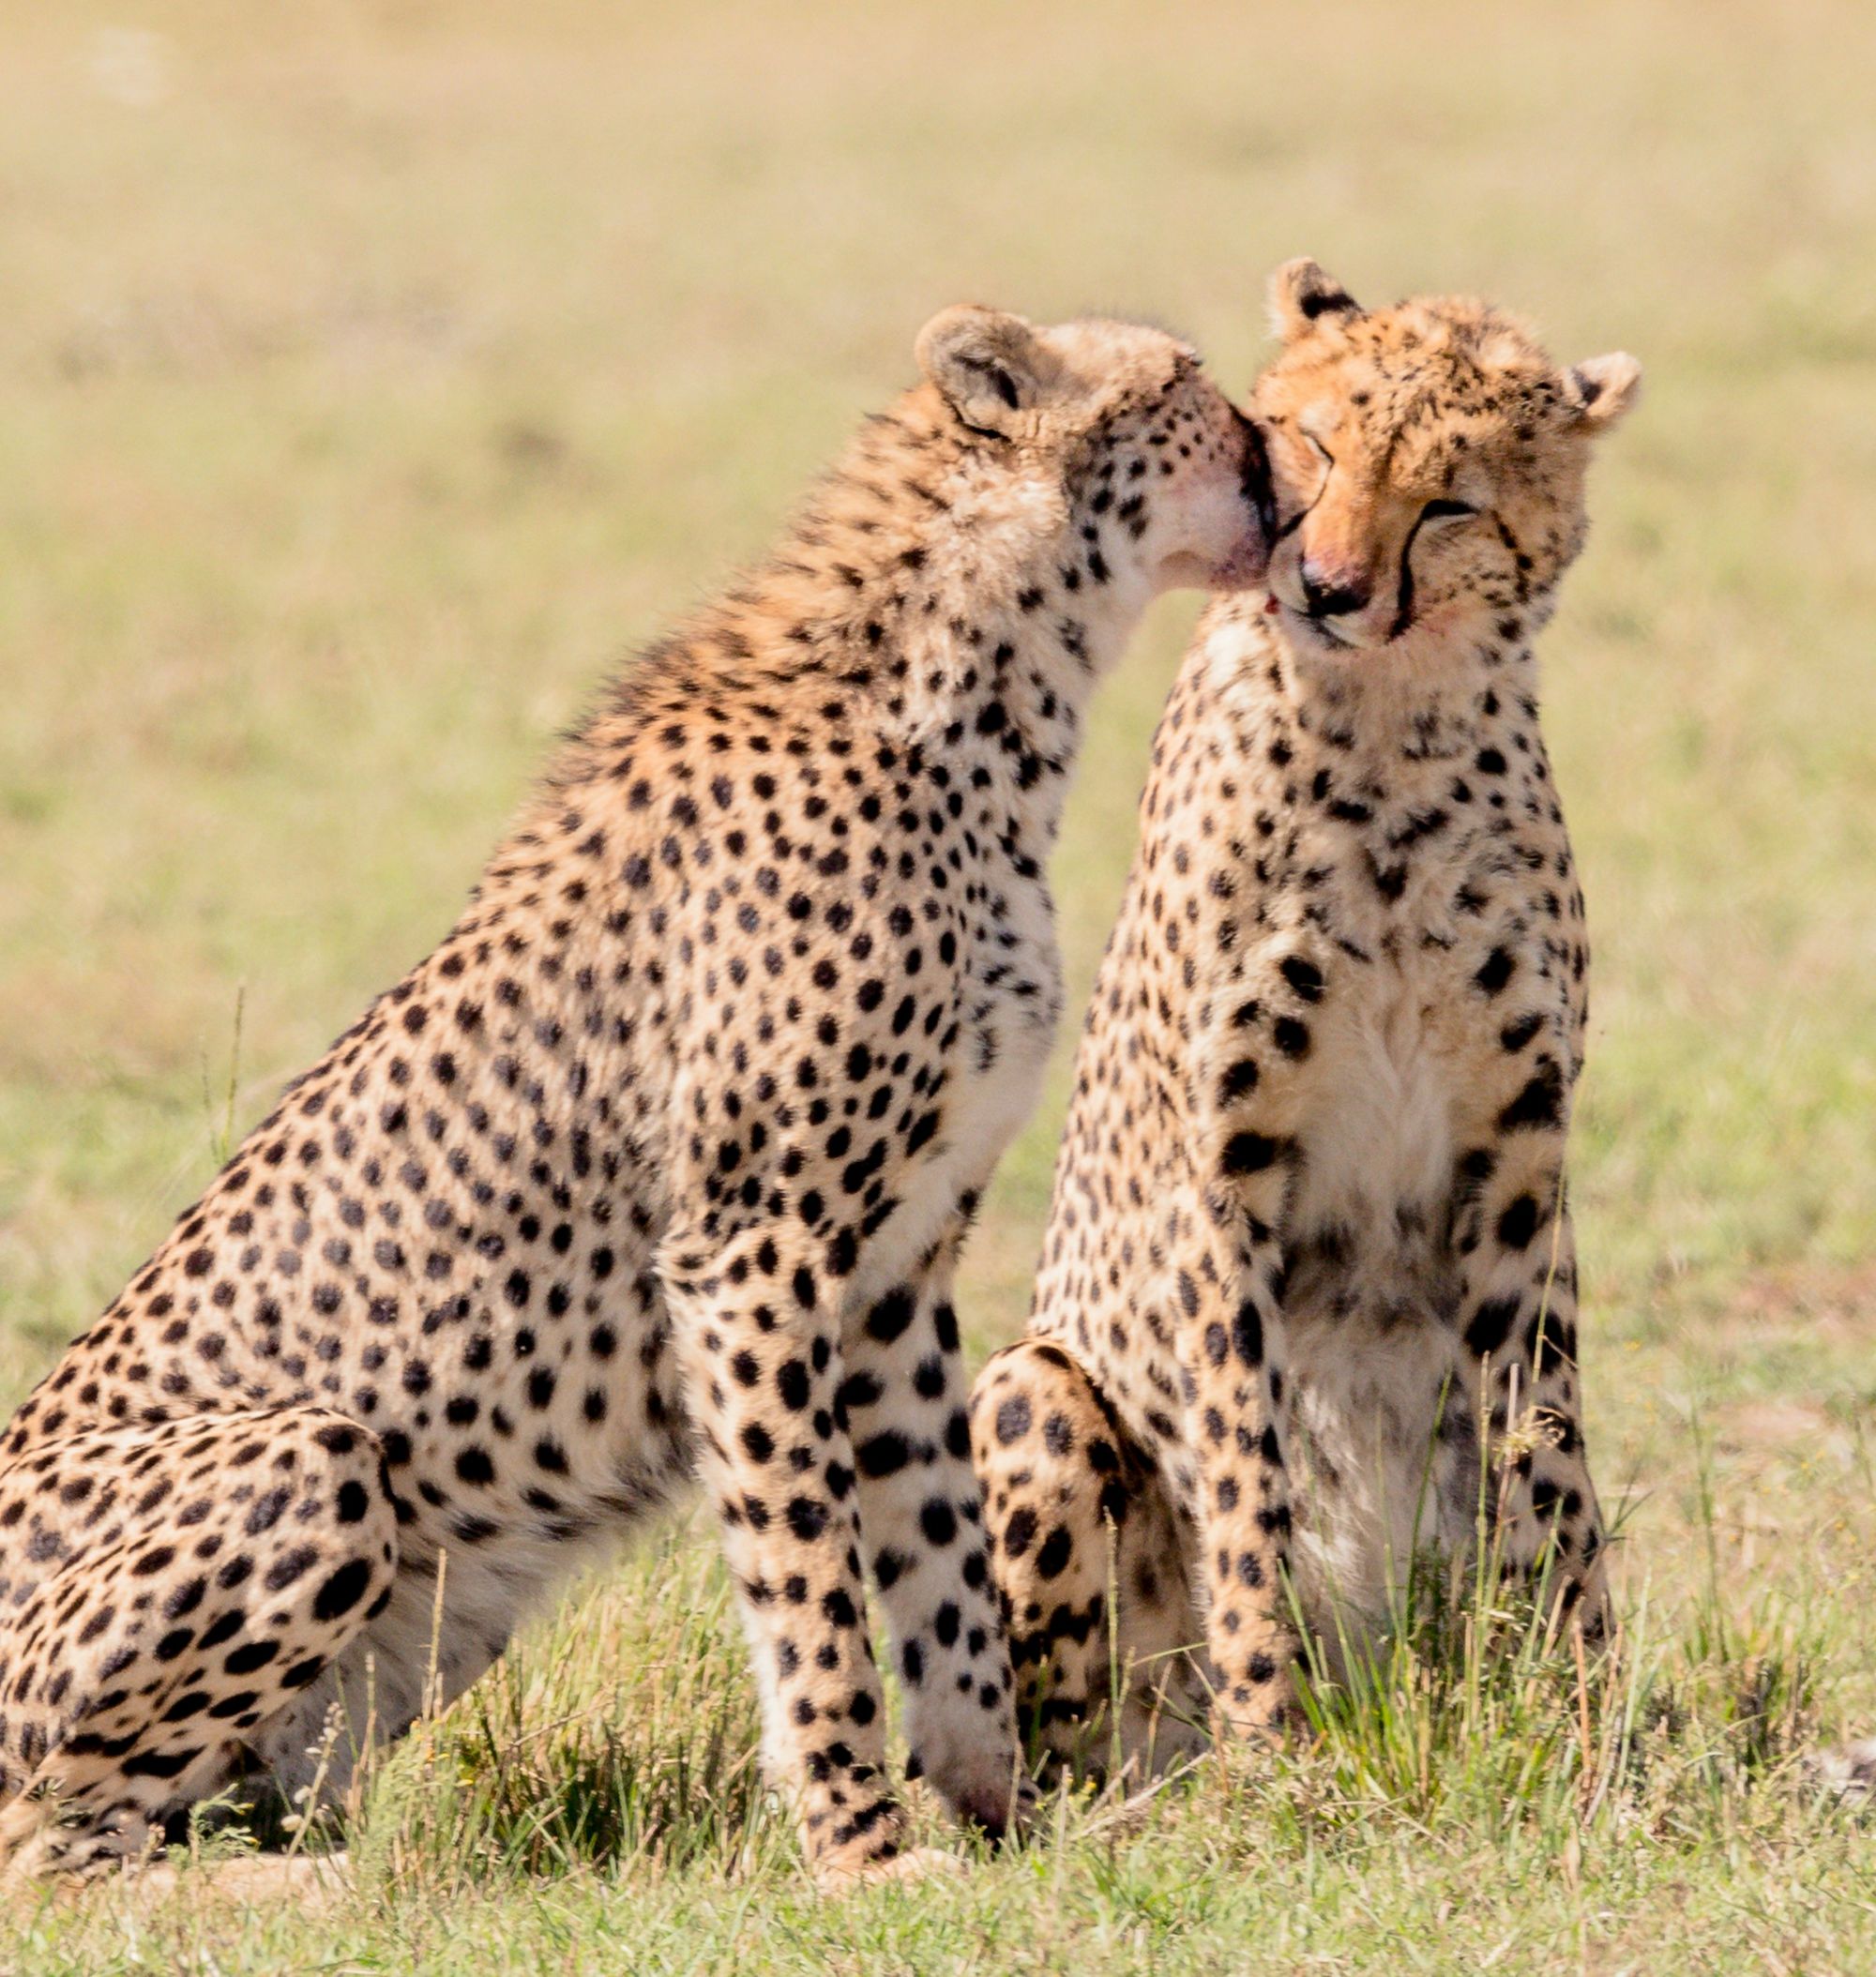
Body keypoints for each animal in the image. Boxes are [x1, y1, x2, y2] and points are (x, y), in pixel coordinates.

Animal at [0, 304, 1273, 1881]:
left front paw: (1003, 1826)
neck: (977, 692)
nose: (1286, 456)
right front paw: (858, 1848)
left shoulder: (899, 1263)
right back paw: (329, 1892)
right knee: (49, 1847)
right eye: (1191, 386)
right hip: (317, 1456)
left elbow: (942, 1570)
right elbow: (808, 1577)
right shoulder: (753, 1247)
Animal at [964, 254, 1636, 1771]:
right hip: (1031, 1388)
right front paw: (1275, 1740)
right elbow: (1242, 1469)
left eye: (1448, 502)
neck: (1388, 731)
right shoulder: (1223, 1172)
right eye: (1317, 449)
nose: (1325, 587)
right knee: (1066, 1732)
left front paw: (1584, 1721)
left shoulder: (1519, 1165)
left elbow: (1543, 1445)